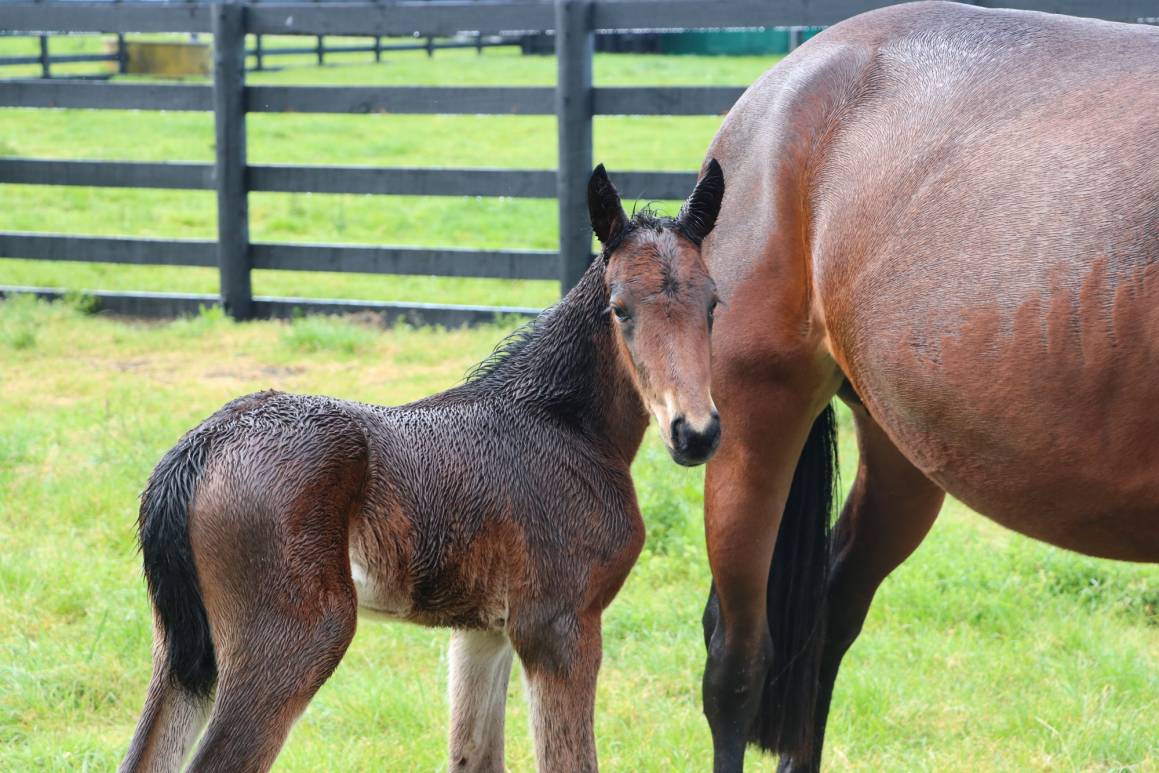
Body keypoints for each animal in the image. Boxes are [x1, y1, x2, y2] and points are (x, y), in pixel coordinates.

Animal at [124, 163, 723, 773]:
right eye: (620, 308)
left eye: (713, 305)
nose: (694, 433)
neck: (562, 423)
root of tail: (200, 448)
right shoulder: (558, 625)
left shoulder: (483, 631)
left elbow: (473, 754)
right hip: (298, 640)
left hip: (181, 653)